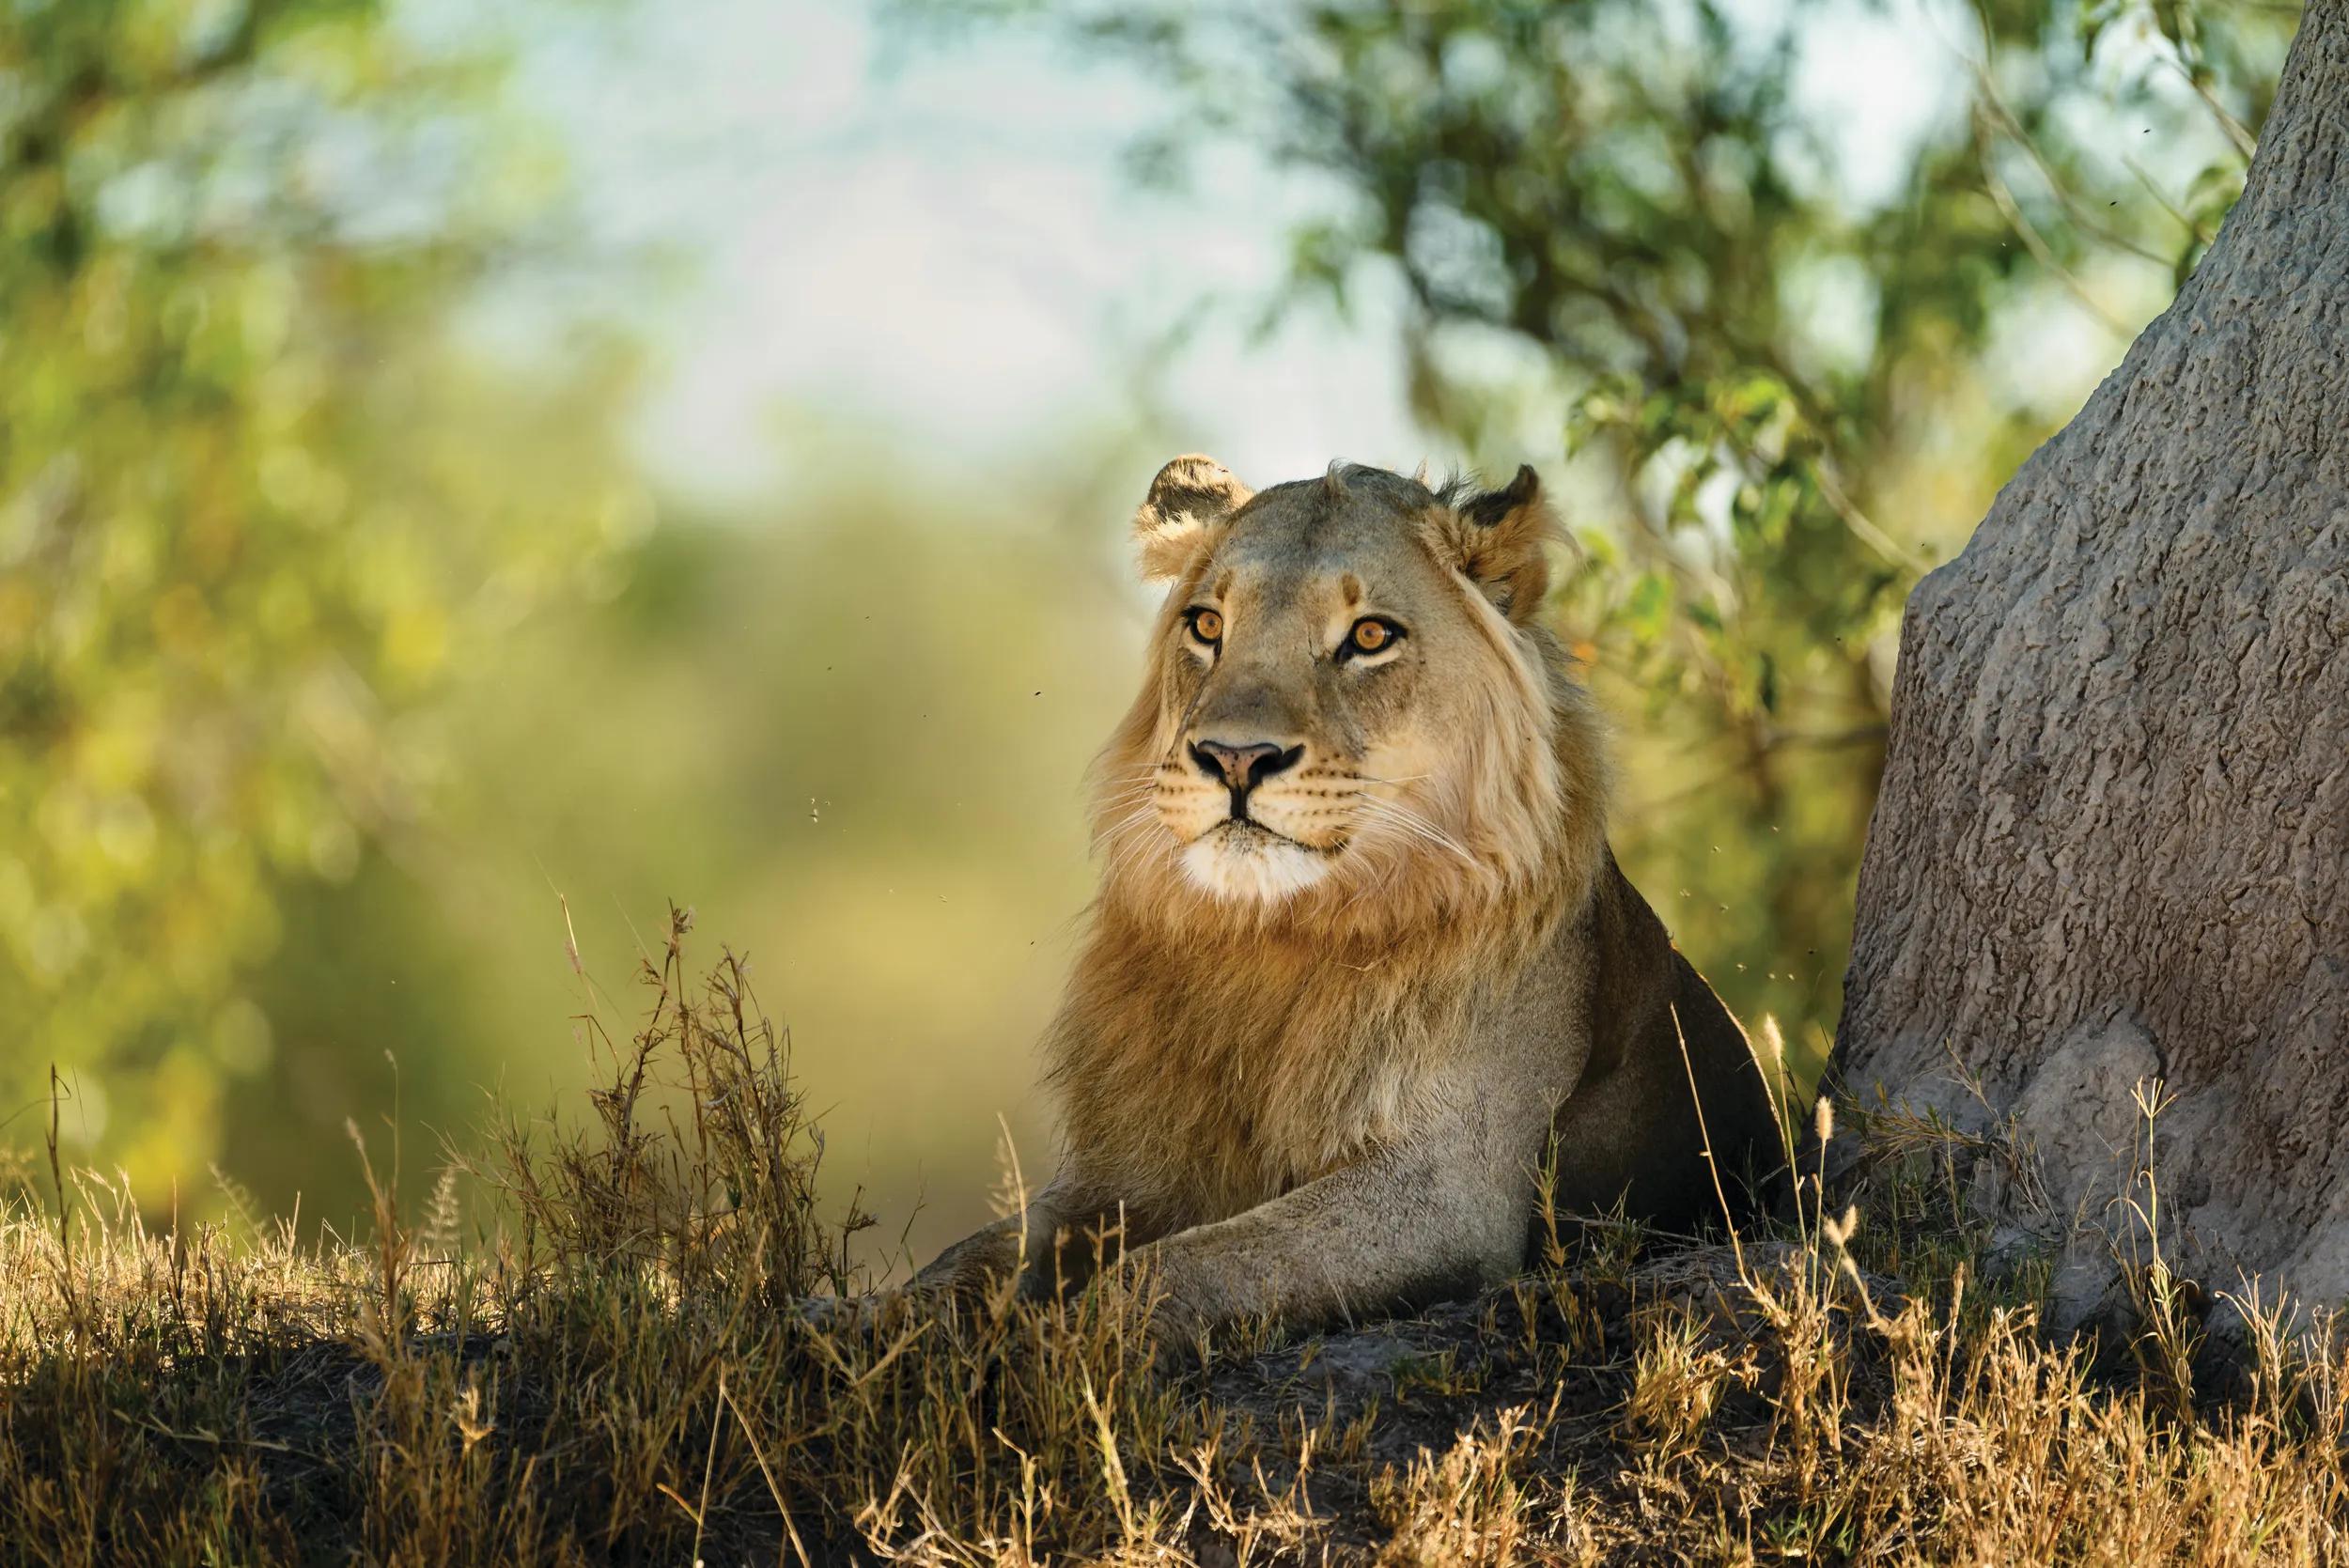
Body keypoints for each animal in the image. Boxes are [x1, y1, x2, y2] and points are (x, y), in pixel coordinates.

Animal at [910, 456, 1785, 1338]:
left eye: (1369, 637)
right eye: (1206, 625)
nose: (1233, 757)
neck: (1274, 939)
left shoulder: (1443, 1192)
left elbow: (1178, 1266)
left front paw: (1062, 1345)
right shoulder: (1124, 1171)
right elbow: (971, 1257)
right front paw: (891, 1334)